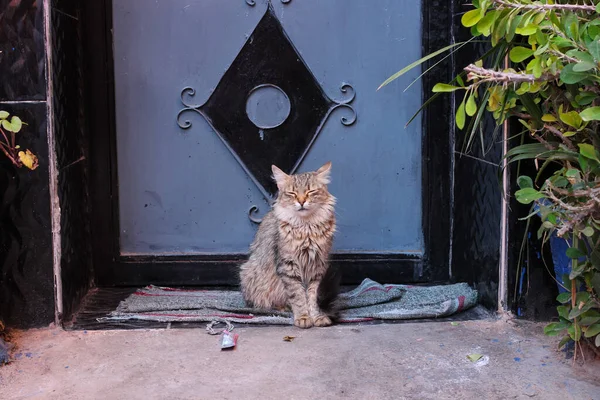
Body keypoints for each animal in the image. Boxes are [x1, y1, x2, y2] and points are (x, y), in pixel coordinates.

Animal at [240, 162, 342, 328]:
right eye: (292, 193)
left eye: (310, 191)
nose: (301, 201)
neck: (306, 227)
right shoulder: (288, 265)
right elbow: (298, 296)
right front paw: (303, 317)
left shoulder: (318, 266)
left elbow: (312, 297)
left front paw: (317, 316)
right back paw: (284, 307)